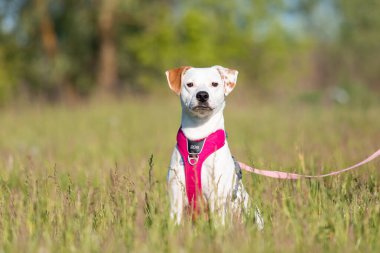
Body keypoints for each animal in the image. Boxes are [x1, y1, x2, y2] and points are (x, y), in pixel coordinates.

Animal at [166, 64, 264, 227]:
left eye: (214, 84)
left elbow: (218, 226)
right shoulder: (176, 195)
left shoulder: (217, 196)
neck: (197, 140)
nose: (202, 95)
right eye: (189, 84)